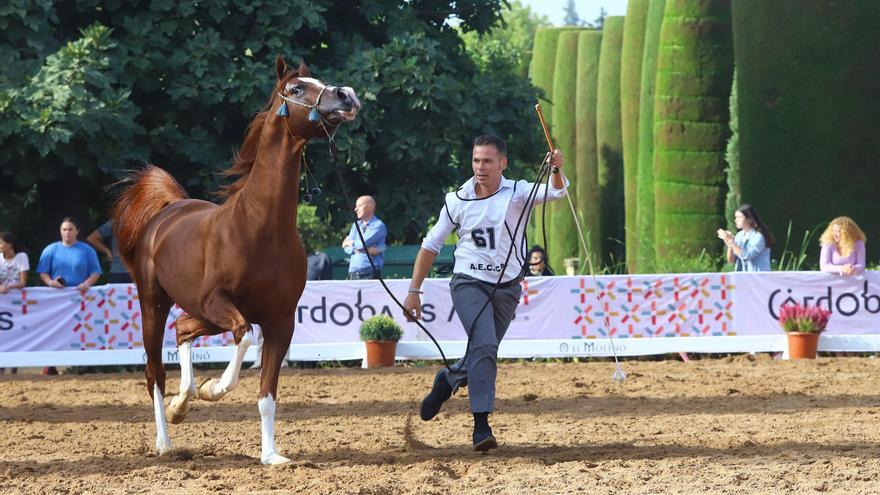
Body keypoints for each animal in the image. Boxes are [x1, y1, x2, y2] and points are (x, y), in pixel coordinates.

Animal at [113, 57, 360, 464]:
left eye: (320, 80)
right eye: (296, 89)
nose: (347, 96)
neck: (261, 228)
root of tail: (167, 210)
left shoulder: (280, 321)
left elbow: (267, 394)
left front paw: (271, 455)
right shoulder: (221, 302)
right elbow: (244, 337)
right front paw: (213, 388)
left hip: (201, 313)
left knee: (183, 328)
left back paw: (181, 405)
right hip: (155, 304)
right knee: (155, 373)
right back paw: (165, 440)